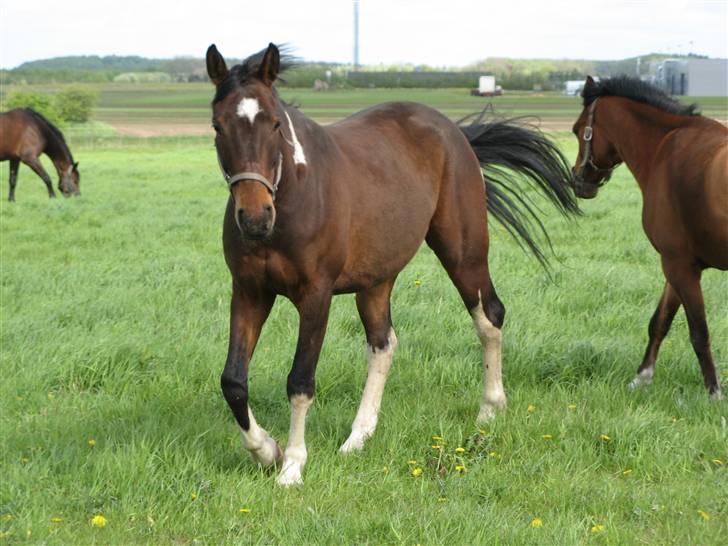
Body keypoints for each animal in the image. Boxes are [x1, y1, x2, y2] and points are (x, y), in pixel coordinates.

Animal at [210, 43, 580, 484]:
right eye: (218, 126)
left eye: (274, 123)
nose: (255, 218)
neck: (294, 197)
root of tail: (454, 132)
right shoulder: (249, 291)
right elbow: (233, 380)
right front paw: (266, 450)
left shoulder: (315, 296)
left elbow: (300, 381)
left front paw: (292, 466)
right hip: (376, 279)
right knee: (383, 343)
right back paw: (358, 437)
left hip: (463, 253)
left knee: (489, 316)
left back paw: (490, 410)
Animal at [572, 75, 724, 396]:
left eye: (578, 130)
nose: (578, 180)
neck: (664, 148)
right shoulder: (679, 266)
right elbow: (660, 322)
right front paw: (642, 377)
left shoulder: (678, 265)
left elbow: (699, 332)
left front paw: (714, 392)